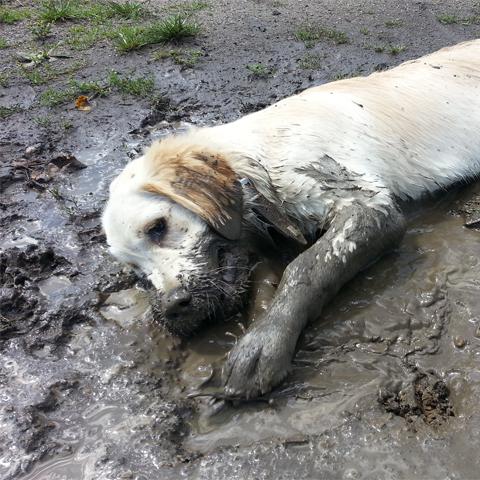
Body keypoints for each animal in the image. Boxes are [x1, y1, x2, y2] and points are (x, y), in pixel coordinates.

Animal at [103, 40, 480, 402]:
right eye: (135, 272)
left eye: (158, 227)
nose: (171, 309)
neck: (259, 158)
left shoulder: (367, 203)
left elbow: (305, 268)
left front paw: (264, 343)